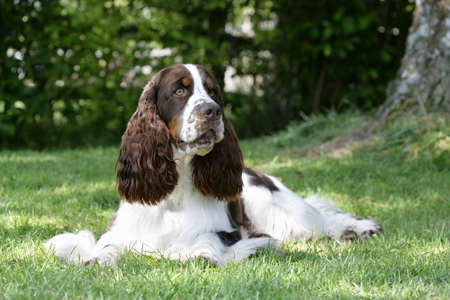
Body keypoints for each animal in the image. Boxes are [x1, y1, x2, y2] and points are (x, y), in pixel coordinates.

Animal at [44, 63, 384, 268]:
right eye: (180, 90)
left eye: (213, 91)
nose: (212, 111)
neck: (176, 192)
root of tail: (258, 173)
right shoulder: (123, 228)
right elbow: (106, 246)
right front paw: (98, 259)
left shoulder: (230, 231)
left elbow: (208, 238)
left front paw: (200, 254)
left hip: (278, 208)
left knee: (323, 218)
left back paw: (360, 228)